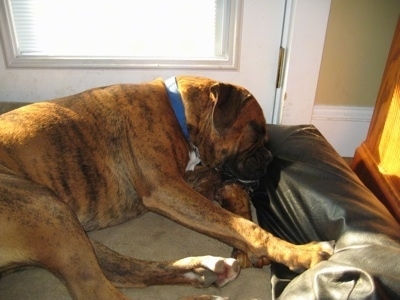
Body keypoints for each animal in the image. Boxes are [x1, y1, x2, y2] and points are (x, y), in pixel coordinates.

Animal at [0, 76, 332, 298]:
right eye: (257, 131)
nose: (269, 158)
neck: (178, 111)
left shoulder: (186, 179)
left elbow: (218, 185)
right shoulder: (165, 188)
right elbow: (242, 226)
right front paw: (300, 252)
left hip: (65, 223)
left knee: (124, 272)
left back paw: (205, 269)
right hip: (50, 211)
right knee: (100, 290)